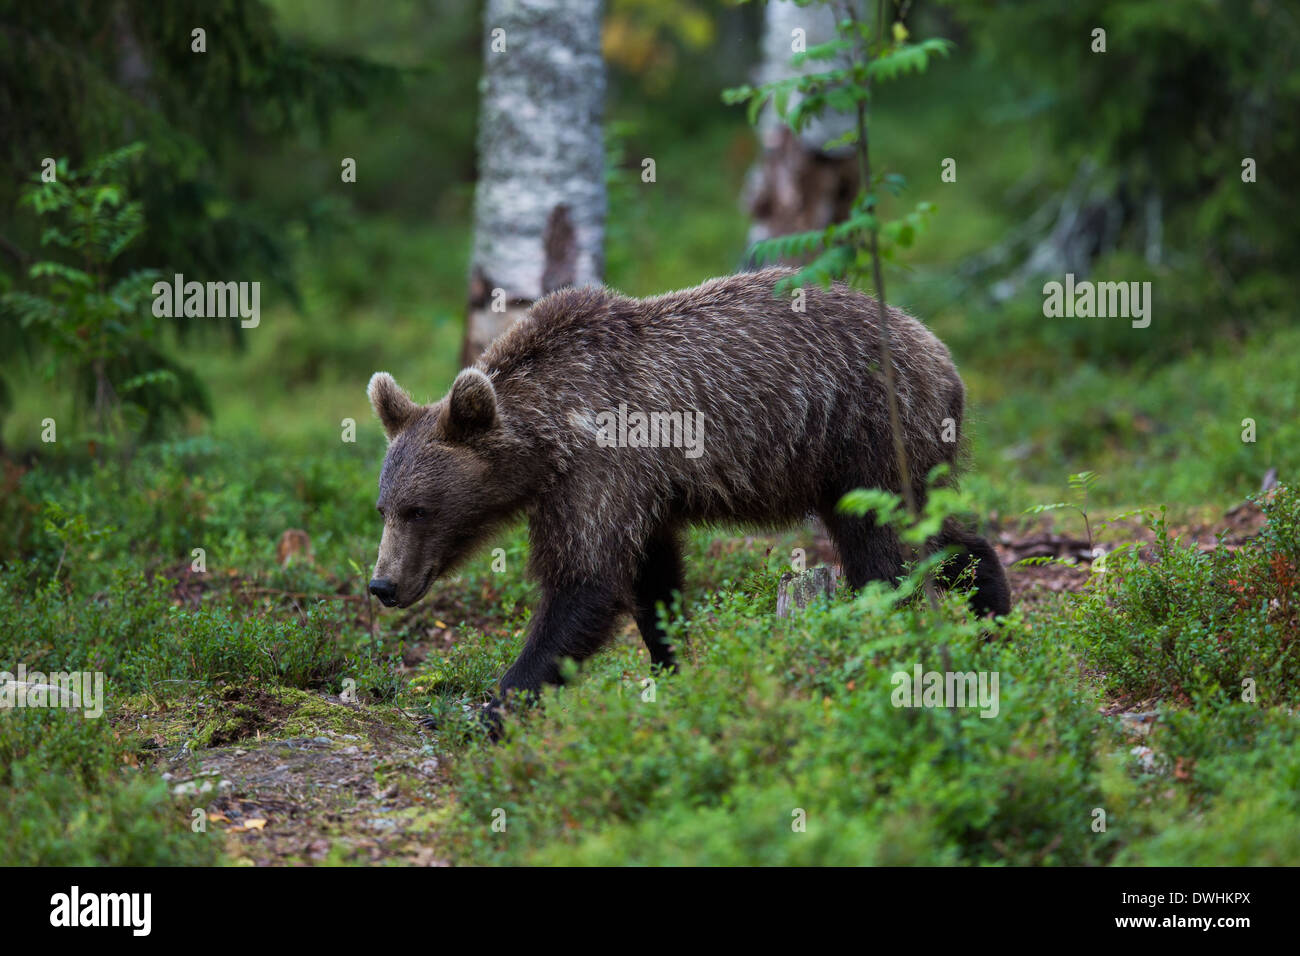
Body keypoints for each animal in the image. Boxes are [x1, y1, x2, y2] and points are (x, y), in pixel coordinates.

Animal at [366, 267, 1010, 724]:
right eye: (384, 508)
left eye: (419, 509)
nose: (383, 584)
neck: (550, 438)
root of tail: (942, 353)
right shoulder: (639, 492)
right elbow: (652, 581)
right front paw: (671, 669)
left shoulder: (601, 468)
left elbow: (584, 583)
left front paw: (492, 708)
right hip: (850, 464)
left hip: (872, 429)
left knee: (893, 543)